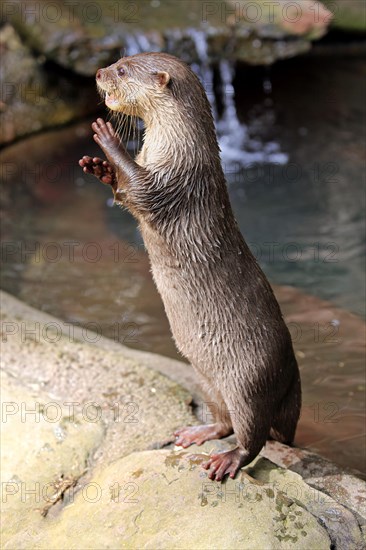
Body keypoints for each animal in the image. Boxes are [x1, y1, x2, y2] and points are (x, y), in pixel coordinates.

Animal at [78, 52, 302, 484]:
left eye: (123, 70)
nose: (98, 72)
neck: (176, 145)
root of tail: (290, 381)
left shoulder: (176, 178)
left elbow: (143, 190)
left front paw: (110, 141)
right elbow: (125, 194)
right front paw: (100, 168)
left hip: (250, 381)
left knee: (253, 435)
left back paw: (228, 460)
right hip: (206, 377)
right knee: (224, 419)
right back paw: (199, 432)